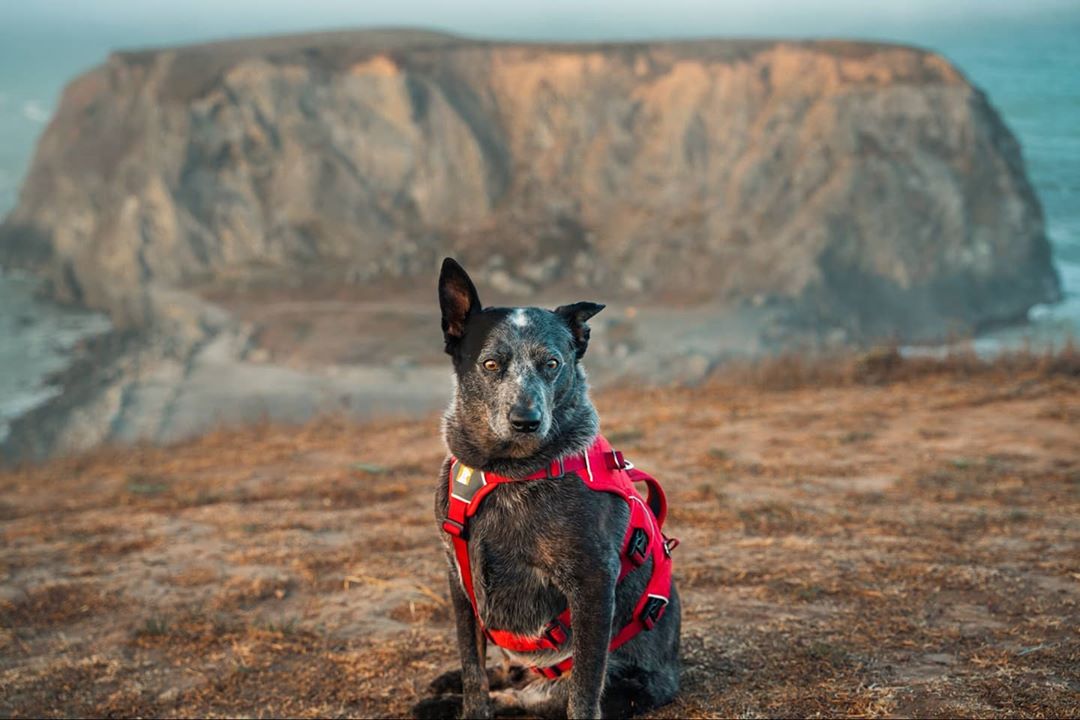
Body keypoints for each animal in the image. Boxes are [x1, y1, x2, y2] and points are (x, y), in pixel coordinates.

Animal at [412, 260, 682, 720]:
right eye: (491, 364)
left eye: (552, 363)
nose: (527, 420)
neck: (505, 471)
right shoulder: (458, 580)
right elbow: (473, 669)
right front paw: (468, 700)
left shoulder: (592, 582)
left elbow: (584, 692)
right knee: (504, 675)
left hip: (622, 683)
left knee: (529, 696)